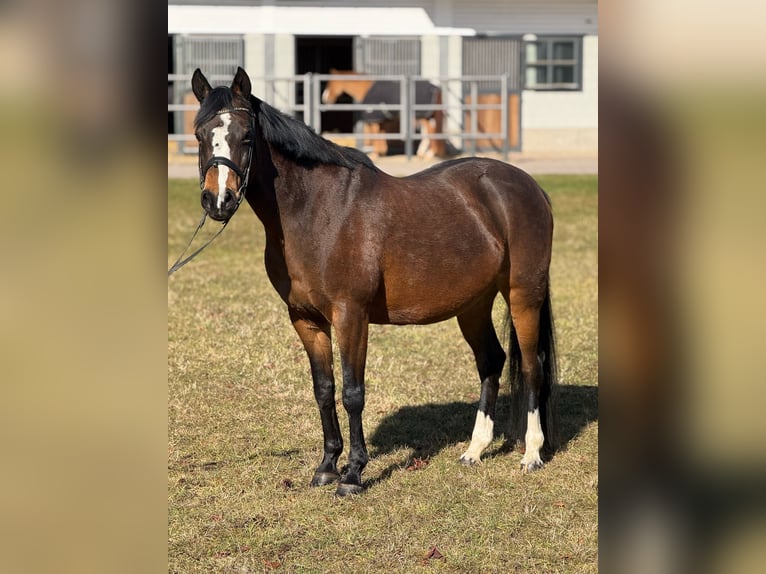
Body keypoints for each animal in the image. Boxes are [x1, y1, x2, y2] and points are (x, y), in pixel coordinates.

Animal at [320, 69, 448, 160]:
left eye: (330, 84)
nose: (324, 99)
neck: (366, 88)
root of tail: (435, 87)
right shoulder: (381, 120)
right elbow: (380, 135)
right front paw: (381, 152)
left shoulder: (374, 118)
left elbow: (374, 135)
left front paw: (375, 154)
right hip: (426, 116)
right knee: (428, 133)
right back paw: (422, 153)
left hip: (423, 116)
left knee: (431, 132)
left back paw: (429, 154)